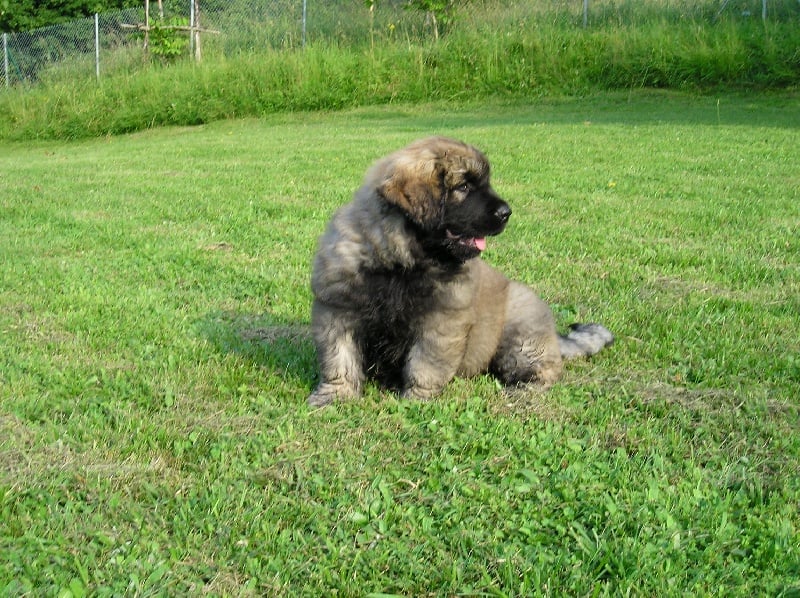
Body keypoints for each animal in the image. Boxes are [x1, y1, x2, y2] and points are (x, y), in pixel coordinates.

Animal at [308, 136, 612, 408]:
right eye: (464, 186)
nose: (506, 212)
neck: (401, 261)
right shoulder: (338, 310)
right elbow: (339, 359)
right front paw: (334, 395)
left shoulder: (441, 322)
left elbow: (425, 364)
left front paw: (417, 399)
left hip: (521, 336)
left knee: (545, 367)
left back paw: (524, 389)